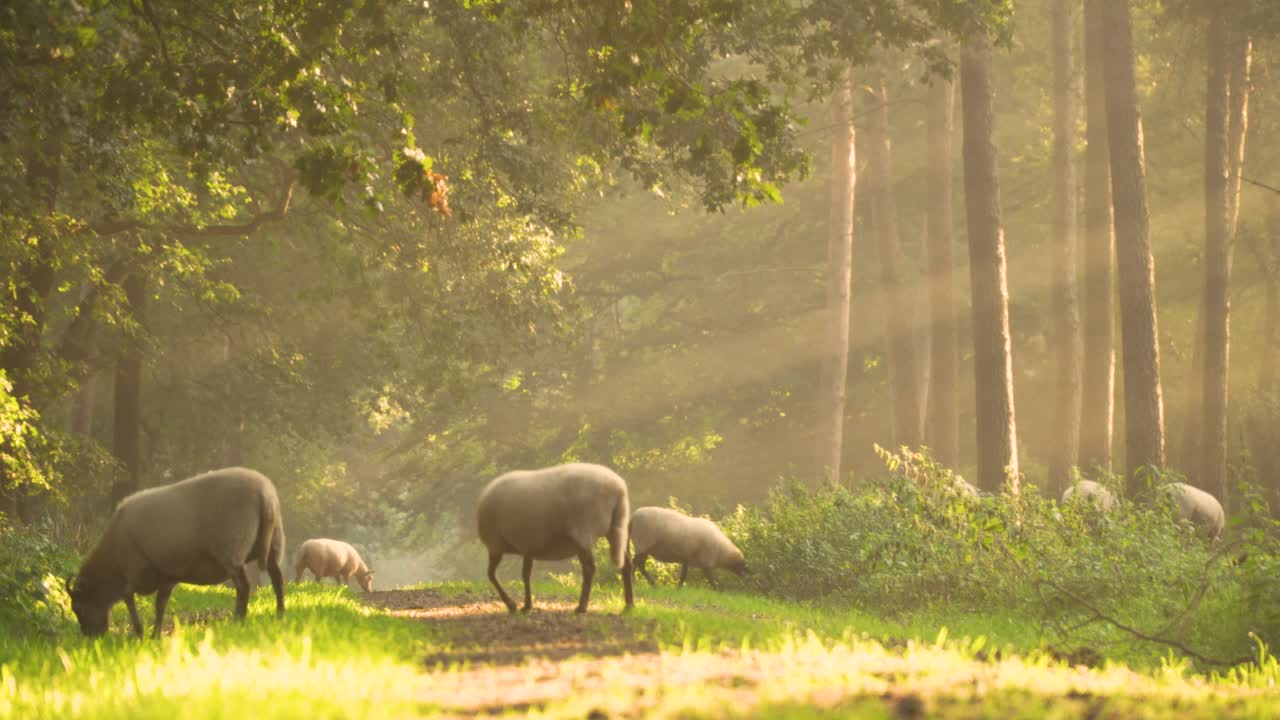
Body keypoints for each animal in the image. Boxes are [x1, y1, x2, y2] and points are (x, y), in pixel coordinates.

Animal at [67, 466, 286, 638]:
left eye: (78, 608)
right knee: (277, 579)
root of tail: (264, 494)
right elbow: (160, 604)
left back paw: (238, 621)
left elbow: (129, 598)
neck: (112, 560)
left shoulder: (134, 569)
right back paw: (280, 614)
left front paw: (139, 632)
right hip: (274, 544)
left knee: (244, 586)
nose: (91, 636)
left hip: (231, 550)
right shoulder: (167, 574)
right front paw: (155, 634)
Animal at [476, 462, 634, 614]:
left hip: (583, 530)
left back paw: (581, 607)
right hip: (617, 527)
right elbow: (526, 574)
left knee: (589, 568)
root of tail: (618, 488)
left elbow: (491, 575)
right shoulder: (529, 546)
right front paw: (527, 605)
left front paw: (512, 605)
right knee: (626, 565)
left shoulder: (495, 545)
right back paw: (629, 605)